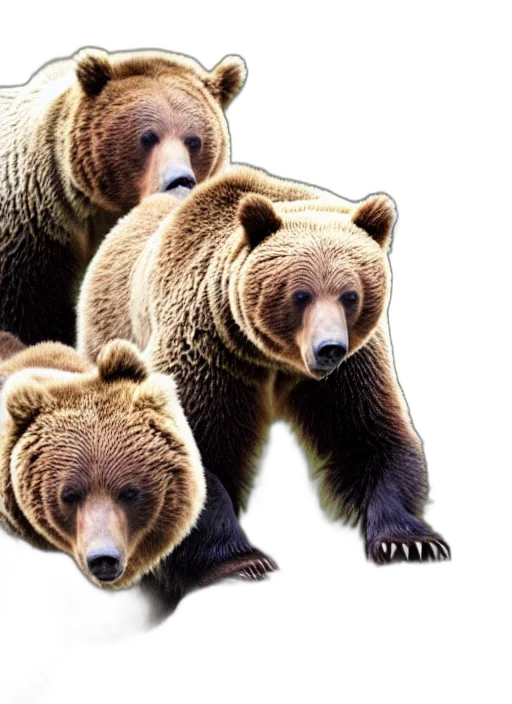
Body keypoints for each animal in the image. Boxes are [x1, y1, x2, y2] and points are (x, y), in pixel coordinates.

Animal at [77, 165, 452, 568]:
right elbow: (197, 447)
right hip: (114, 328)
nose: (329, 349)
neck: (275, 360)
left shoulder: (350, 369)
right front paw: (242, 562)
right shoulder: (210, 351)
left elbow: (367, 433)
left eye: (351, 295)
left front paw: (409, 542)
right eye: (300, 295)